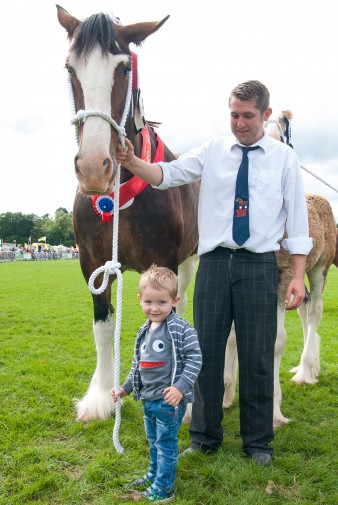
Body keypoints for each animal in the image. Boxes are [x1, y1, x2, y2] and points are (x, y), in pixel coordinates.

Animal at [55, 5, 198, 420]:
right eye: (71, 67)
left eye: (122, 69)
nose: (93, 167)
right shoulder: (91, 262)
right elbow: (103, 326)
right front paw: (100, 396)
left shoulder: (166, 260)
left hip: (189, 258)